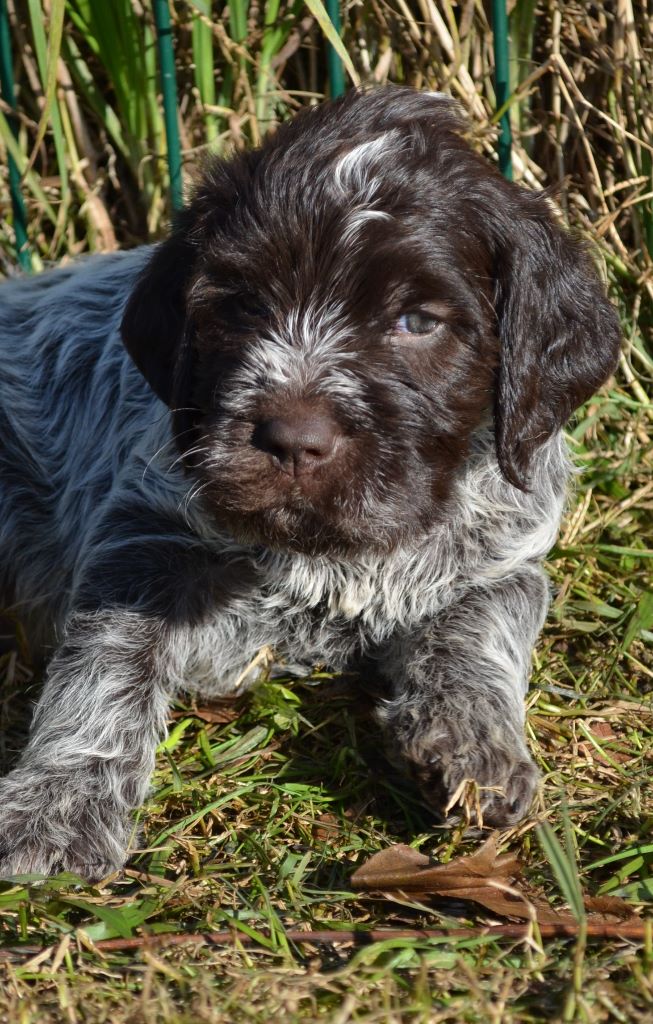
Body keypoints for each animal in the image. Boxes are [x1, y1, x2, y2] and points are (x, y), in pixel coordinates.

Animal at [0, 87, 621, 879]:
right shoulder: (146, 534)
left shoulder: (505, 561)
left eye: (416, 321)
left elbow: (478, 632)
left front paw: (472, 743)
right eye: (241, 307)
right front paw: (59, 805)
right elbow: (107, 665)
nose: (292, 441)